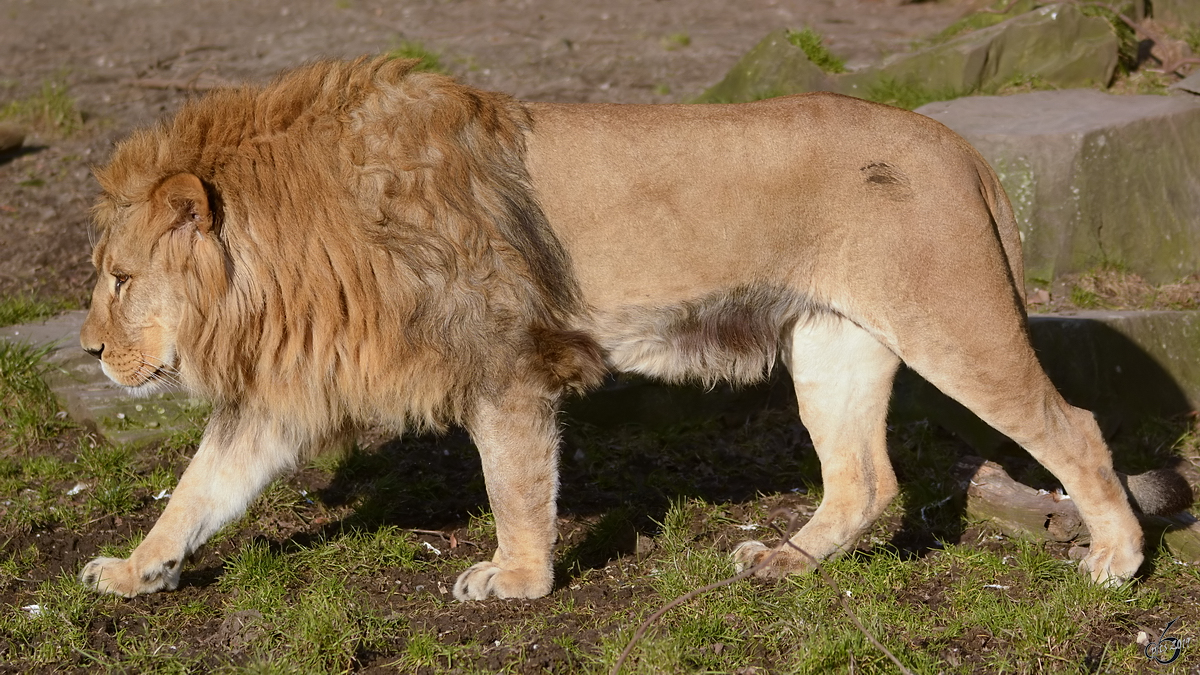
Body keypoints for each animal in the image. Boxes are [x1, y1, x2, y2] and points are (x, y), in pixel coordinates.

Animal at [77, 55, 1152, 595]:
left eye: (120, 279)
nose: (89, 351)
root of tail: (954, 141)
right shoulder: (281, 394)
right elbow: (197, 490)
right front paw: (133, 570)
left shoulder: (507, 363)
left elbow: (514, 484)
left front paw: (515, 579)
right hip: (831, 342)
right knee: (865, 478)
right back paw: (786, 561)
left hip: (951, 320)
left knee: (1074, 427)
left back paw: (1118, 558)